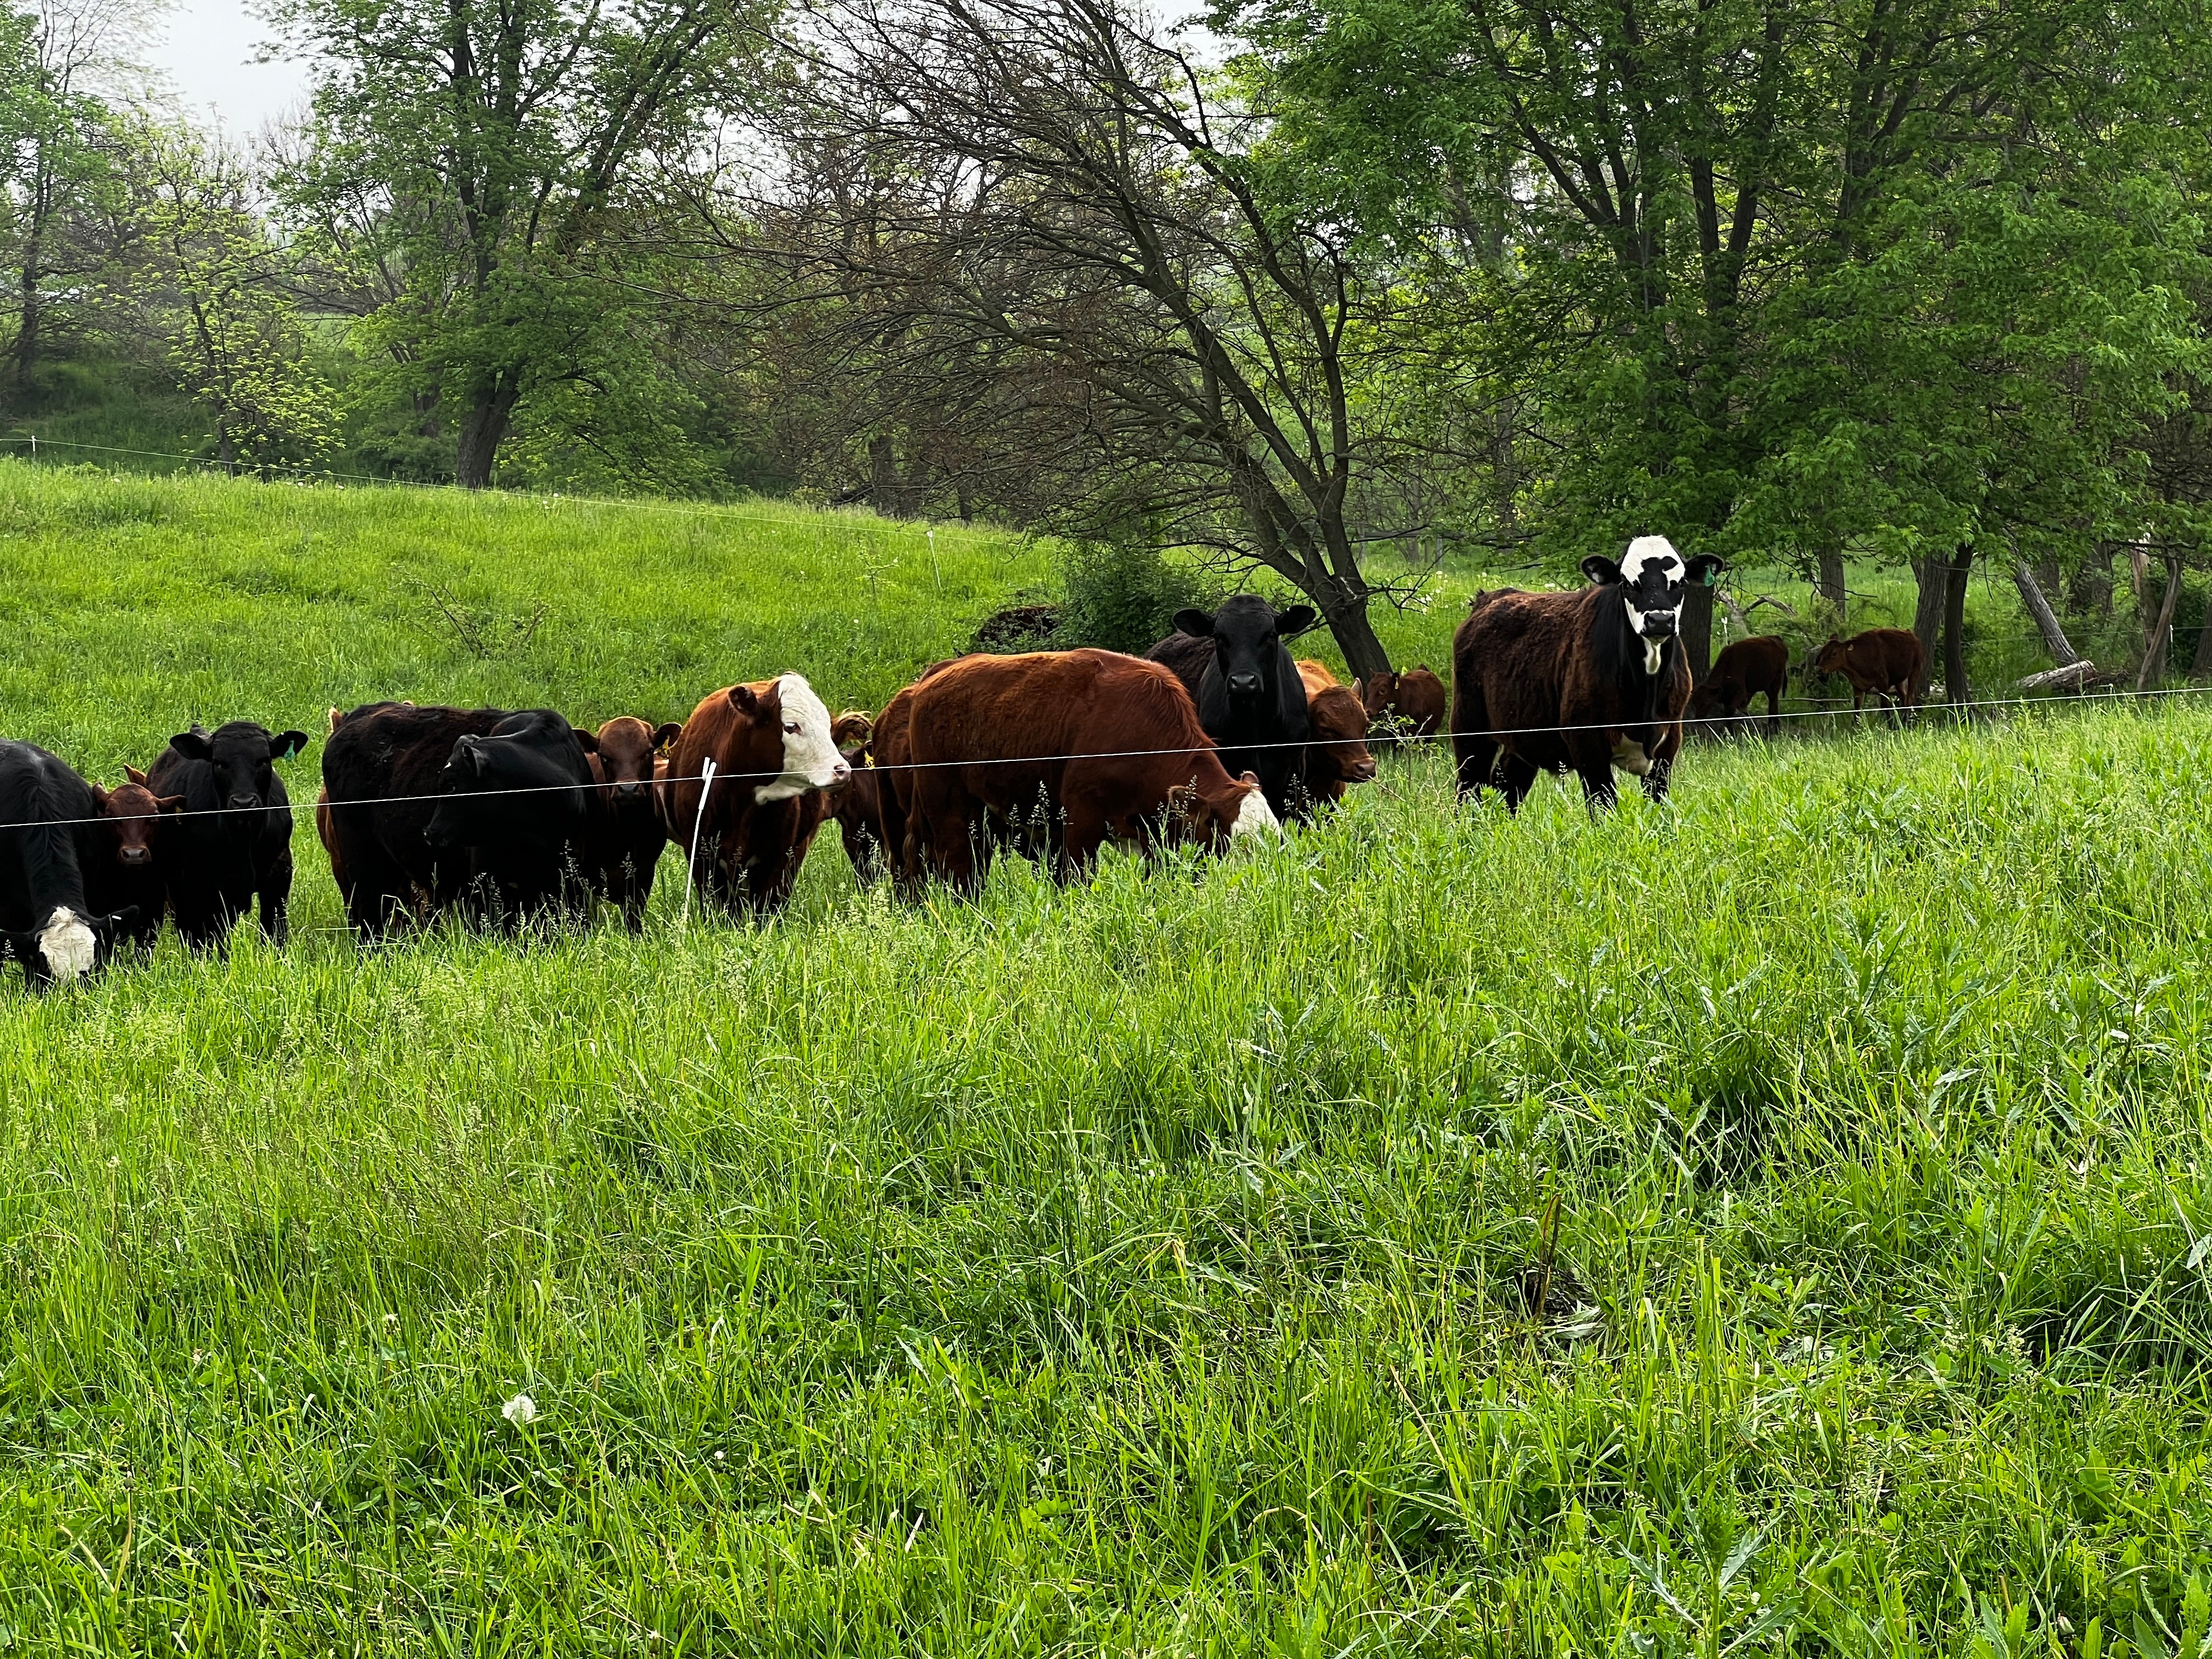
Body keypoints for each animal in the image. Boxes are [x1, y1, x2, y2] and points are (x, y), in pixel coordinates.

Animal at [145, 720, 310, 950]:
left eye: (264, 760)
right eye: (218, 762)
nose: (244, 802)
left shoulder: (278, 875)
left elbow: (274, 931)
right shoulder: (202, 884)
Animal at [904, 649, 1278, 893]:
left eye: (1278, 839)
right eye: (1240, 843)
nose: (1261, 890)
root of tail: (937, 674)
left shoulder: (1159, 838)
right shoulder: (1080, 821)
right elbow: (1075, 880)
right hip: (948, 807)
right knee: (956, 865)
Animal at [1450, 535, 1725, 811]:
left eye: (1681, 582)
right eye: (1626, 583)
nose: (1660, 620)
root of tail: (1490, 598)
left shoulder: (1669, 741)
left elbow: (1657, 802)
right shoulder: (1587, 741)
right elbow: (1604, 804)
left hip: (1523, 738)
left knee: (1507, 788)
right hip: (1469, 728)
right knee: (1469, 788)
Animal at [1688, 635, 1790, 736]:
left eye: (1706, 702)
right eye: (1694, 702)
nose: (1698, 718)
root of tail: (1776, 638)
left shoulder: (1740, 695)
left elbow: (1730, 714)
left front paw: (1732, 734)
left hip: (1774, 685)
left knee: (1773, 706)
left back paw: (1772, 731)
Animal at [1812, 628, 1924, 724]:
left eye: (1834, 653)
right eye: (1823, 651)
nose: (1819, 669)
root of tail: (1911, 635)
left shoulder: (1883, 682)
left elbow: (1885, 705)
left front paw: (1892, 726)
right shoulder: (1857, 686)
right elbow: (1857, 708)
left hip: (1915, 671)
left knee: (1909, 699)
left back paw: (1905, 722)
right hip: (1899, 680)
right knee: (1904, 697)